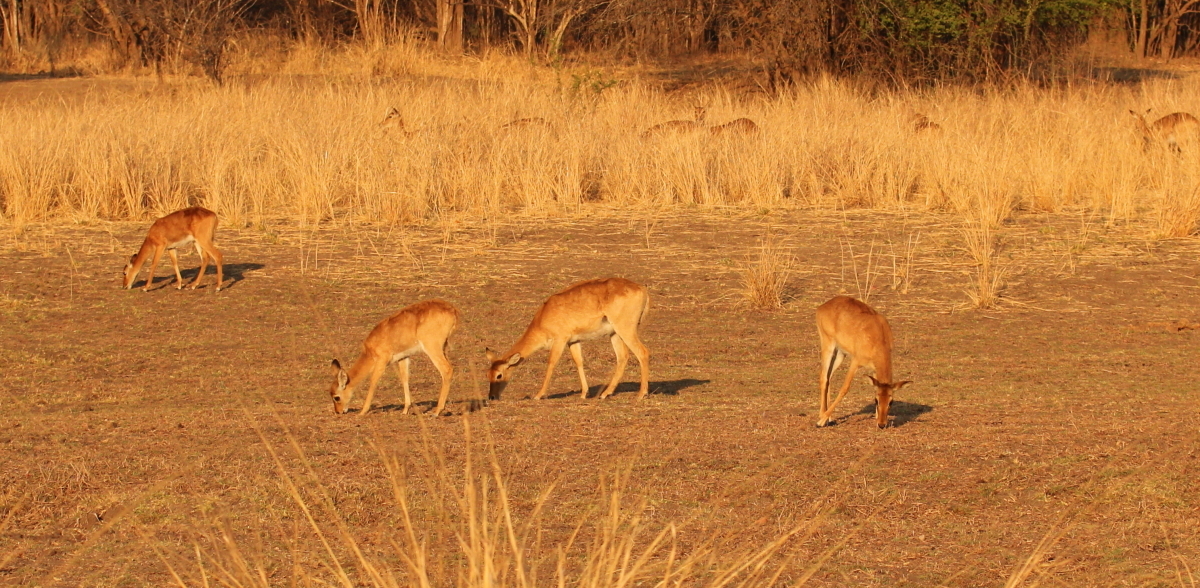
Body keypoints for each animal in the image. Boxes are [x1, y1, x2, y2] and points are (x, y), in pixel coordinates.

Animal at [328, 298, 458, 417]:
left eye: (336, 397)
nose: (338, 412)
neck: (369, 351)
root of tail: (452, 310)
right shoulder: (403, 358)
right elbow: (404, 378)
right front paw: (405, 410)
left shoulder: (382, 361)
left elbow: (373, 381)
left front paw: (362, 411)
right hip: (443, 348)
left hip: (432, 348)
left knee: (447, 369)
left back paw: (437, 412)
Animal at [487, 278, 652, 400]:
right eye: (488, 374)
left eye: (499, 375)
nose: (492, 397)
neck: (543, 317)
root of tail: (642, 288)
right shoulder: (573, 341)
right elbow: (579, 361)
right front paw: (584, 393)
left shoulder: (560, 340)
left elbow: (551, 363)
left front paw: (538, 395)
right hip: (615, 334)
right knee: (623, 357)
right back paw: (605, 394)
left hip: (625, 330)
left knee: (642, 352)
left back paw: (641, 394)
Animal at [816, 296, 907, 429]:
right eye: (876, 400)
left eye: (891, 401)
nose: (882, 424)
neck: (878, 337)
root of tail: (822, 306)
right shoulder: (855, 362)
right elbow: (844, 388)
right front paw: (820, 421)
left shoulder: (874, 370)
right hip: (828, 345)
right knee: (823, 377)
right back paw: (822, 417)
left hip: (840, 354)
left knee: (828, 378)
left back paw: (830, 418)